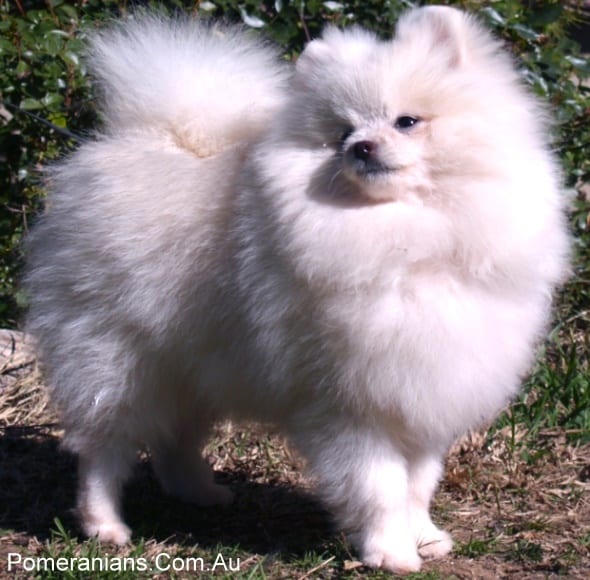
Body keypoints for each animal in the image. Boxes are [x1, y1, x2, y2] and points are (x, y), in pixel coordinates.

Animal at [24, 5, 572, 576]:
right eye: (342, 131)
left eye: (406, 121)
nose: (361, 147)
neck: (407, 241)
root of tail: (145, 138)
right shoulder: (351, 404)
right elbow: (380, 486)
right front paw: (390, 551)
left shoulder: (422, 395)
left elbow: (418, 485)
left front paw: (423, 536)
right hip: (117, 358)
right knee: (103, 449)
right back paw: (104, 526)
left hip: (193, 363)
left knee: (176, 438)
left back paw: (199, 492)